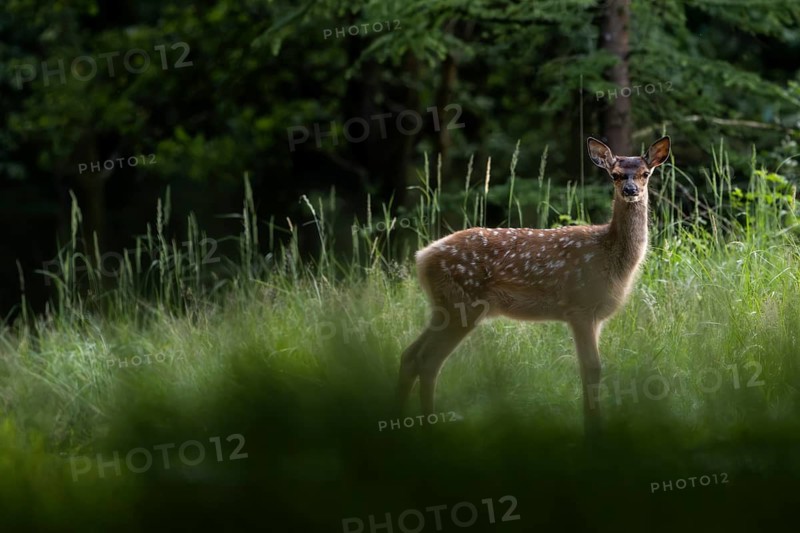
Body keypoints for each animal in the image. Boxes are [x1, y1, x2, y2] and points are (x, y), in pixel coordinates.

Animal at [397, 136, 671, 432]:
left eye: (646, 173)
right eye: (615, 175)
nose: (631, 190)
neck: (608, 255)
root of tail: (422, 257)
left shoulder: (595, 316)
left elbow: (589, 369)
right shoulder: (579, 307)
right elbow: (592, 368)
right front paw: (594, 430)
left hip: (444, 308)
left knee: (410, 355)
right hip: (462, 305)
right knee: (427, 360)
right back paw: (427, 423)